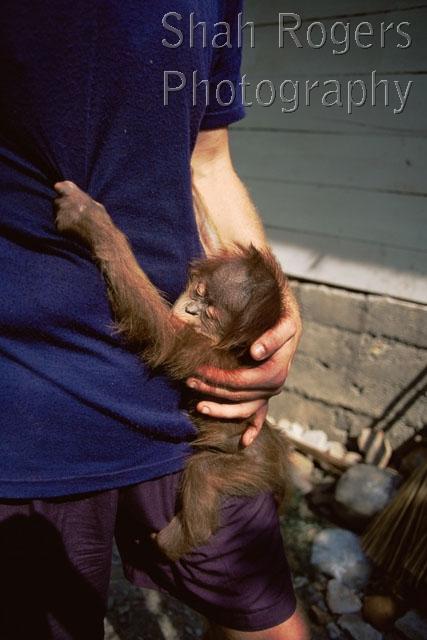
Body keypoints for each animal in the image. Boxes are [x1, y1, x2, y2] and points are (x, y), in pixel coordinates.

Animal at [53, 180, 291, 561]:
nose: (191, 309)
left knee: (205, 472)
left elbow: (159, 330)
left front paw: (90, 220)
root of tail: (279, 461)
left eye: (211, 314)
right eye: (199, 292)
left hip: (251, 465)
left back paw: (176, 539)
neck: (229, 347)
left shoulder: (199, 351)